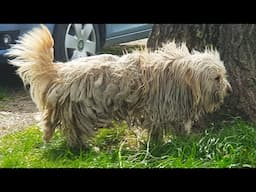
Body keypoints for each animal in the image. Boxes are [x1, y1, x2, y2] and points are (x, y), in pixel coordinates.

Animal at [7, 24, 233, 146]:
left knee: (50, 122)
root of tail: (60, 70)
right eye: (216, 78)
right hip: (80, 112)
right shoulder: (163, 109)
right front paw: (178, 140)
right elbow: (172, 127)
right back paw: (83, 147)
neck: (179, 72)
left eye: (223, 75)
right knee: (72, 131)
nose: (229, 90)